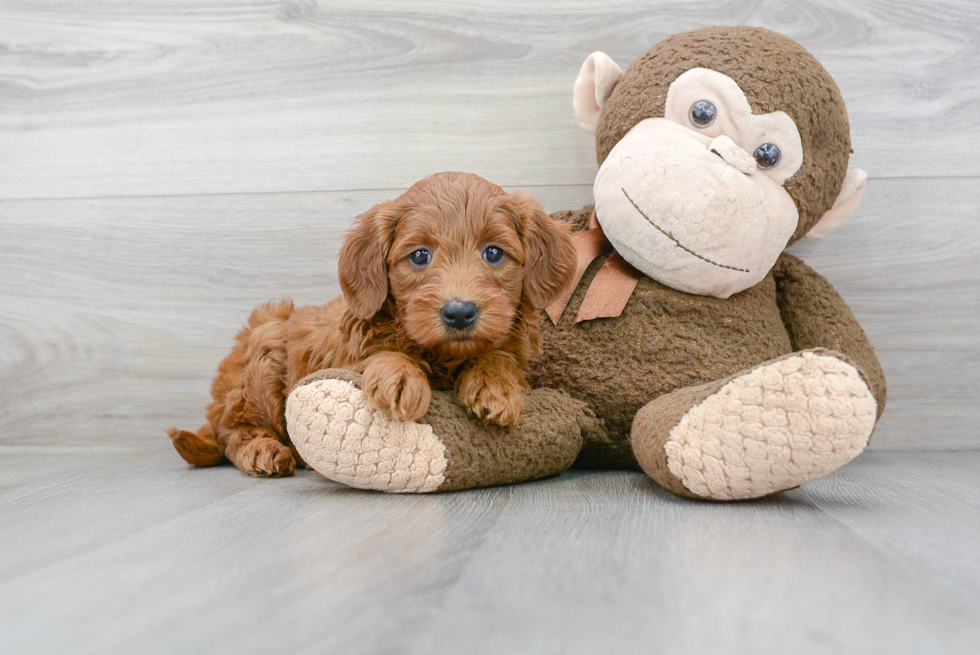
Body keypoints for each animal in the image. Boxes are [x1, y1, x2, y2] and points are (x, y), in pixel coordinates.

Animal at [168, 172, 580, 476]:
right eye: (420, 256)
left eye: (493, 253)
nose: (460, 312)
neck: (440, 354)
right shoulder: (350, 349)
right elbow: (381, 353)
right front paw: (399, 376)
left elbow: (499, 356)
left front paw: (495, 386)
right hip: (262, 349)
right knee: (232, 433)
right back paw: (263, 450)